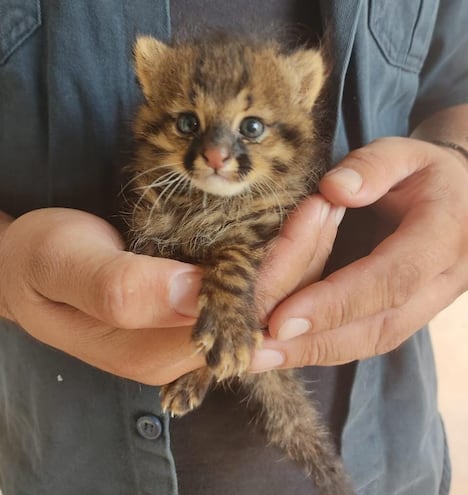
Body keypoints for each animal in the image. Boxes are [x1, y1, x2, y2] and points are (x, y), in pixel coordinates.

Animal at [126, 33, 352, 494]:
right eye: (187, 124)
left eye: (251, 127)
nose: (215, 157)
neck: (207, 200)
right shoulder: (151, 233)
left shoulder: (259, 229)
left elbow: (230, 259)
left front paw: (228, 327)